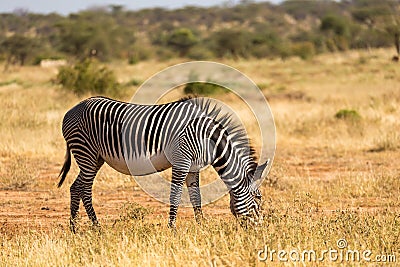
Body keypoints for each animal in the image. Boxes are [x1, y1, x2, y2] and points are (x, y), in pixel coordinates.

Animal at [57, 97, 268, 232]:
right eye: (258, 199)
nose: (259, 229)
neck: (207, 138)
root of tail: (71, 110)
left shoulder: (193, 167)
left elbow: (196, 197)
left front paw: (201, 226)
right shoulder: (182, 161)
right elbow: (175, 195)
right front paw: (172, 228)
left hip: (95, 158)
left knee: (76, 187)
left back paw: (75, 228)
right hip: (86, 152)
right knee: (85, 189)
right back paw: (96, 226)